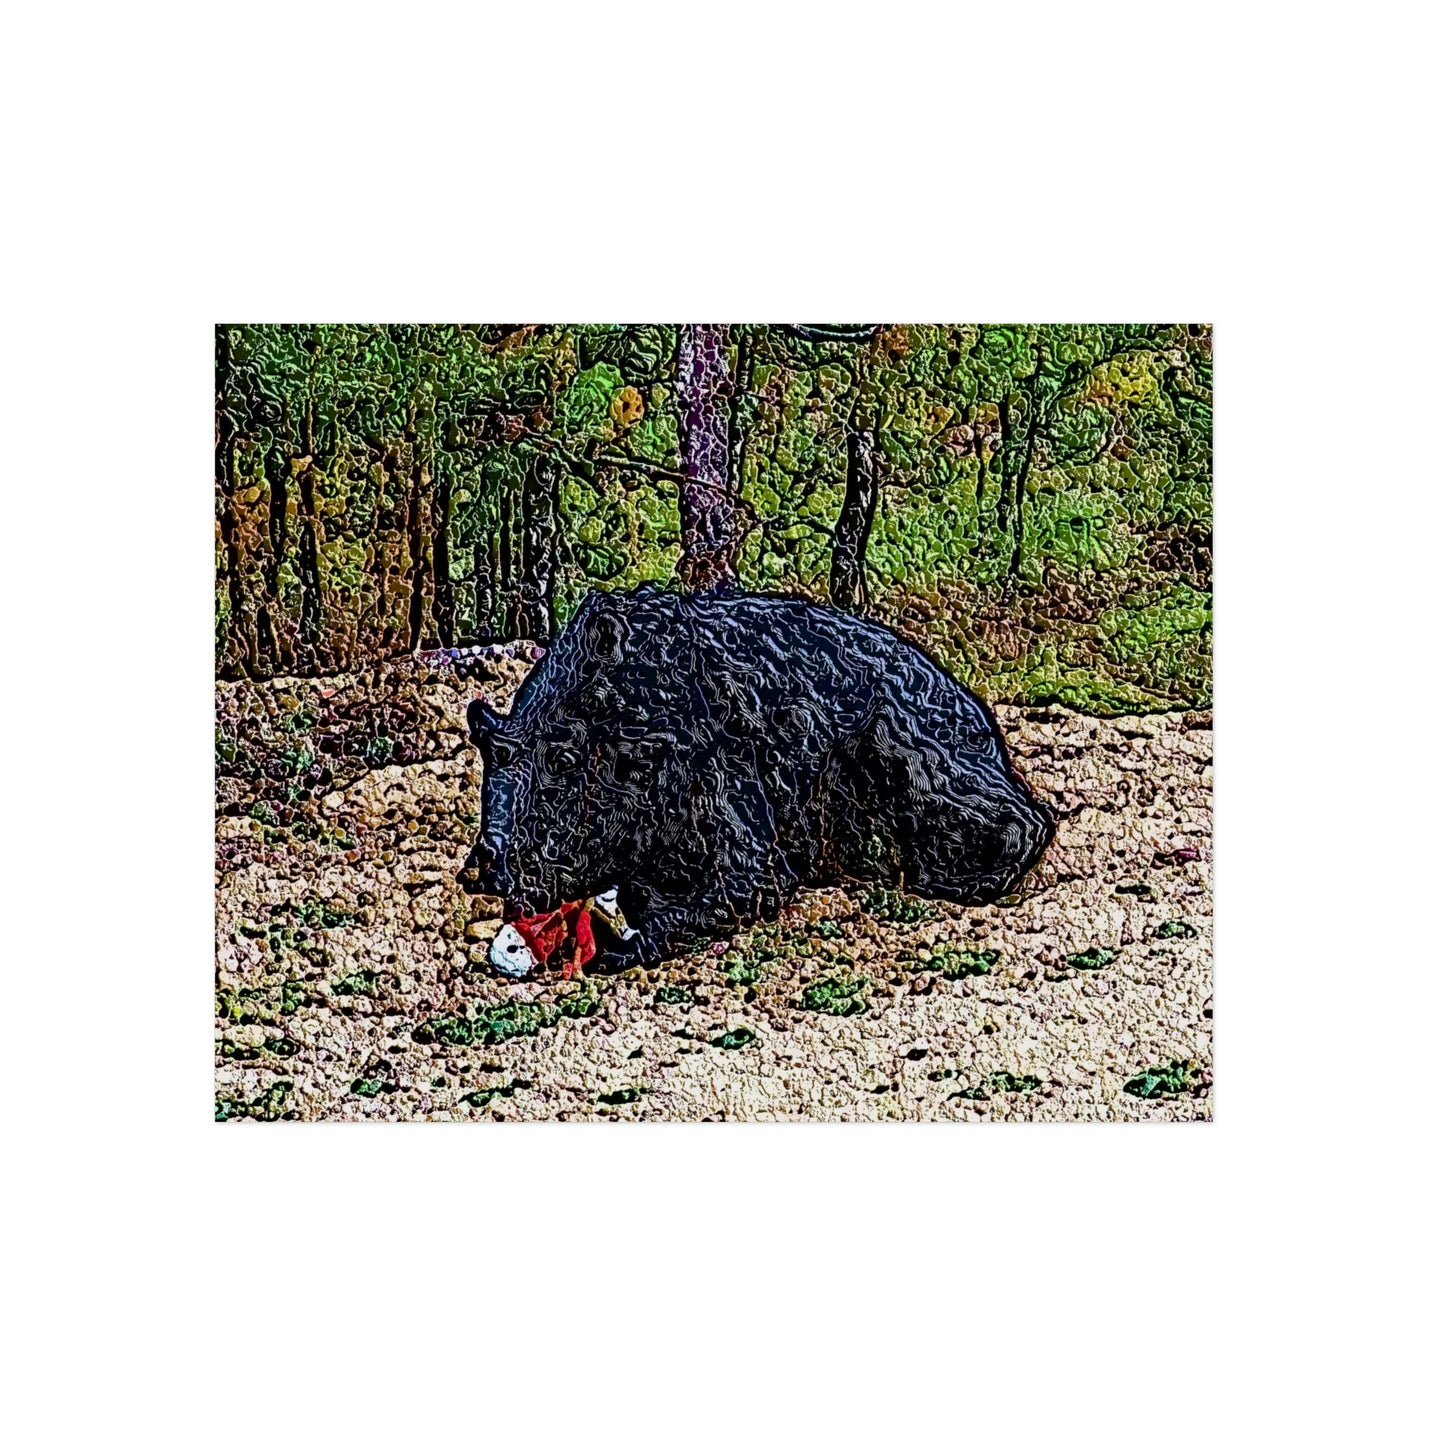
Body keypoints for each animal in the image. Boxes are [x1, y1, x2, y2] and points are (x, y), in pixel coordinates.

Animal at [457, 584, 1054, 967]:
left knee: (1026, 823)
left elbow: (720, 890)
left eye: (562, 760)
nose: (487, 868)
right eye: (490, 762)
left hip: (906, 754)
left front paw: (622, 945)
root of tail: (987, 729)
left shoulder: (745, 836)